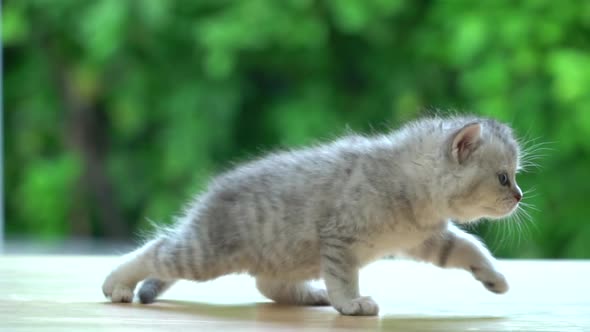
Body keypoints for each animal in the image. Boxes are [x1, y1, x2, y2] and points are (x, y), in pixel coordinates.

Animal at [103, 116, 528, 316]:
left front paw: (494, 277)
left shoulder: (427, 239)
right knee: (156, 249)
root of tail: (208, 196)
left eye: (514, 176)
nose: (520, 196)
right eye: (503, 177)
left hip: (285, 257)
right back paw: (115, 284)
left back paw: (312, 295)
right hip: (206, 253)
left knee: (268, 286)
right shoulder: (340, 237)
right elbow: (344, 277)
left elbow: (469, 247)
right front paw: (351, 304)